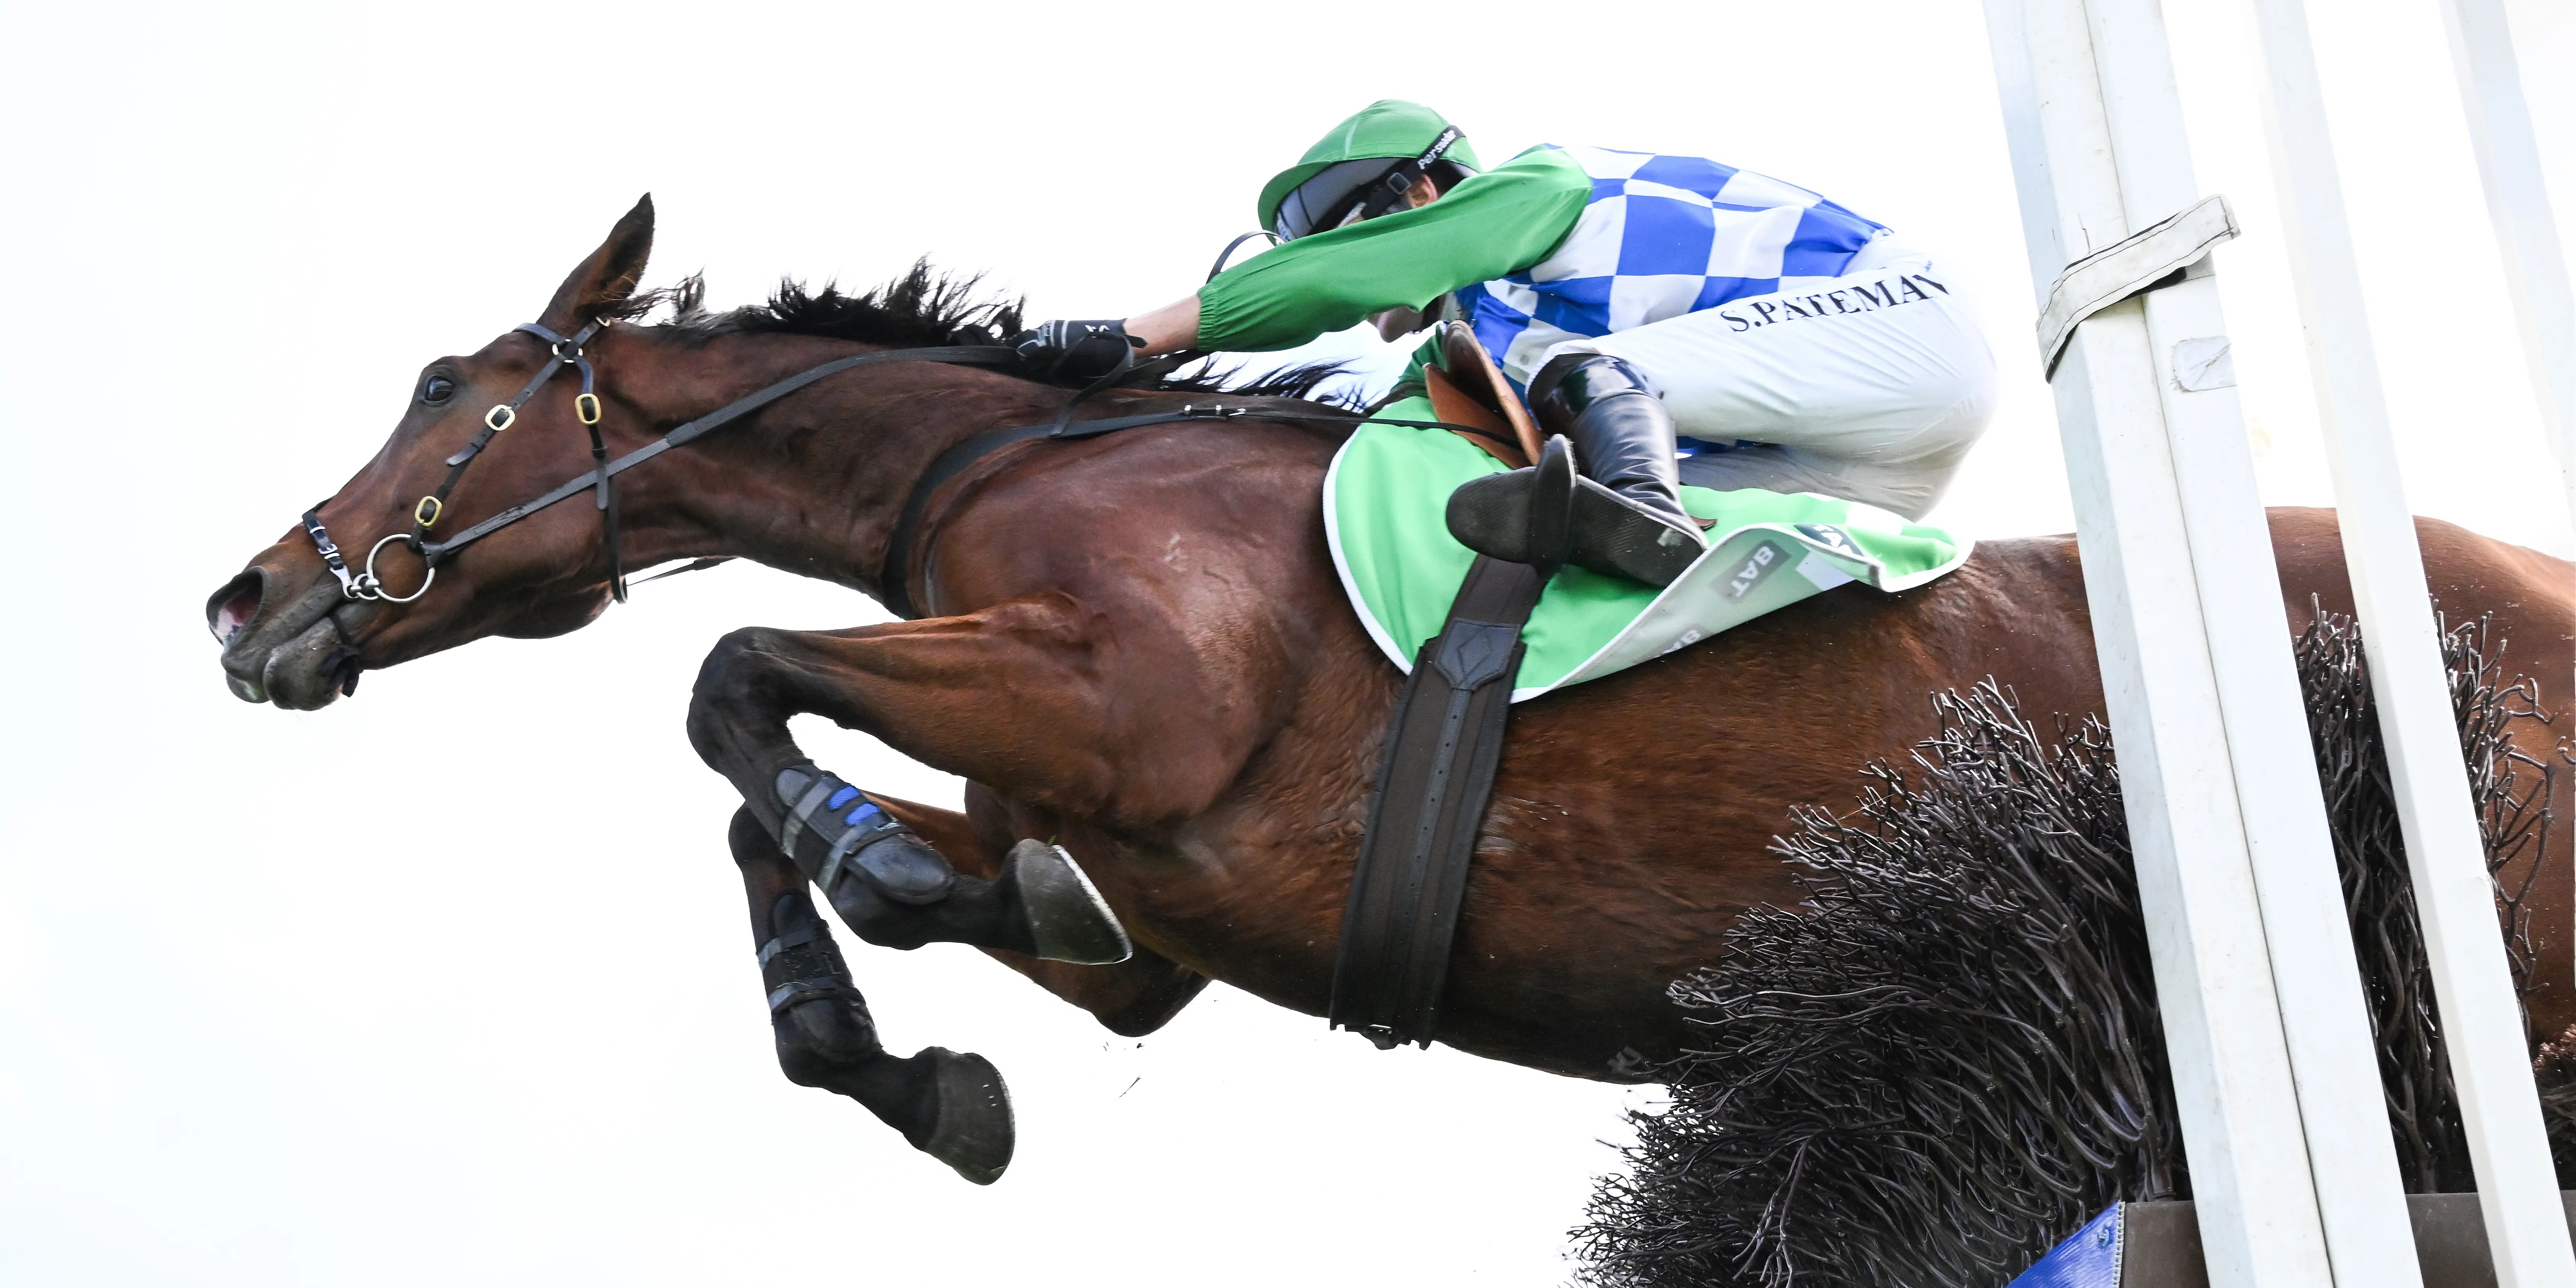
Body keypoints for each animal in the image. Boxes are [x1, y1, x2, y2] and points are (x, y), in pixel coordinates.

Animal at [206, 197, 2576, 1183]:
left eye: (447, 386)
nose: (244, 599)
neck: (1013, 463)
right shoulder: (1146, 884)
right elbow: (841, 835)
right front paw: (911, 1054)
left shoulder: (1127, 707)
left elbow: (723, 678)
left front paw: (875, 874)